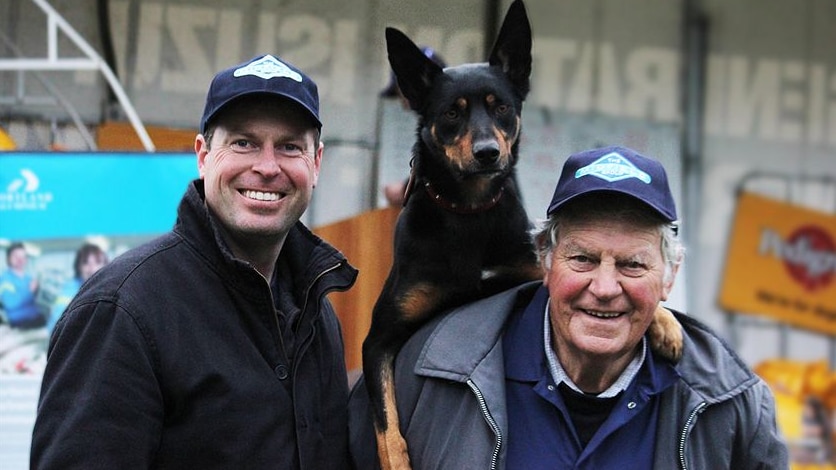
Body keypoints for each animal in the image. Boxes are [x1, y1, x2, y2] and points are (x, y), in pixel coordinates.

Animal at [362, 1, 684, 468]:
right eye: (452, 113)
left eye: (500, 107)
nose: (487, 153)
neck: (470, 213)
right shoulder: (379, 339)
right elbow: (387, 423)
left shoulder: (532, 270)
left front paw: (664, 322)